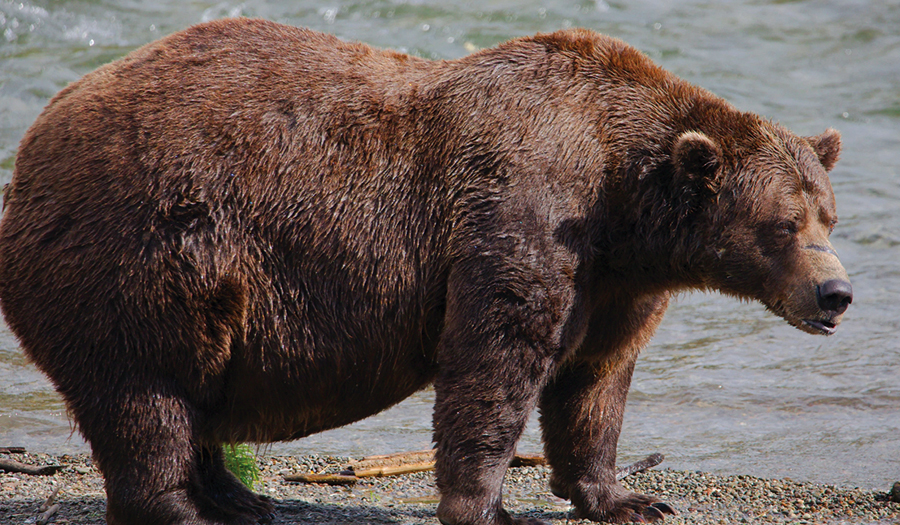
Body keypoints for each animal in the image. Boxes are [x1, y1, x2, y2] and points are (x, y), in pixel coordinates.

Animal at [0, 18, 852, 525]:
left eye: (828, 215)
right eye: (783, 224)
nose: (837, 291)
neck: (621, 198)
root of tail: (32, 145)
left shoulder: (616, 280)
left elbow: (595, 381)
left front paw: (626, 496)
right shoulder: (523, 211)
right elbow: (495, 361)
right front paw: (486, 503)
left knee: (193, 394)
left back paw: (240, 496)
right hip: (143, 252)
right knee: (147, 395)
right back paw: (188, 506)